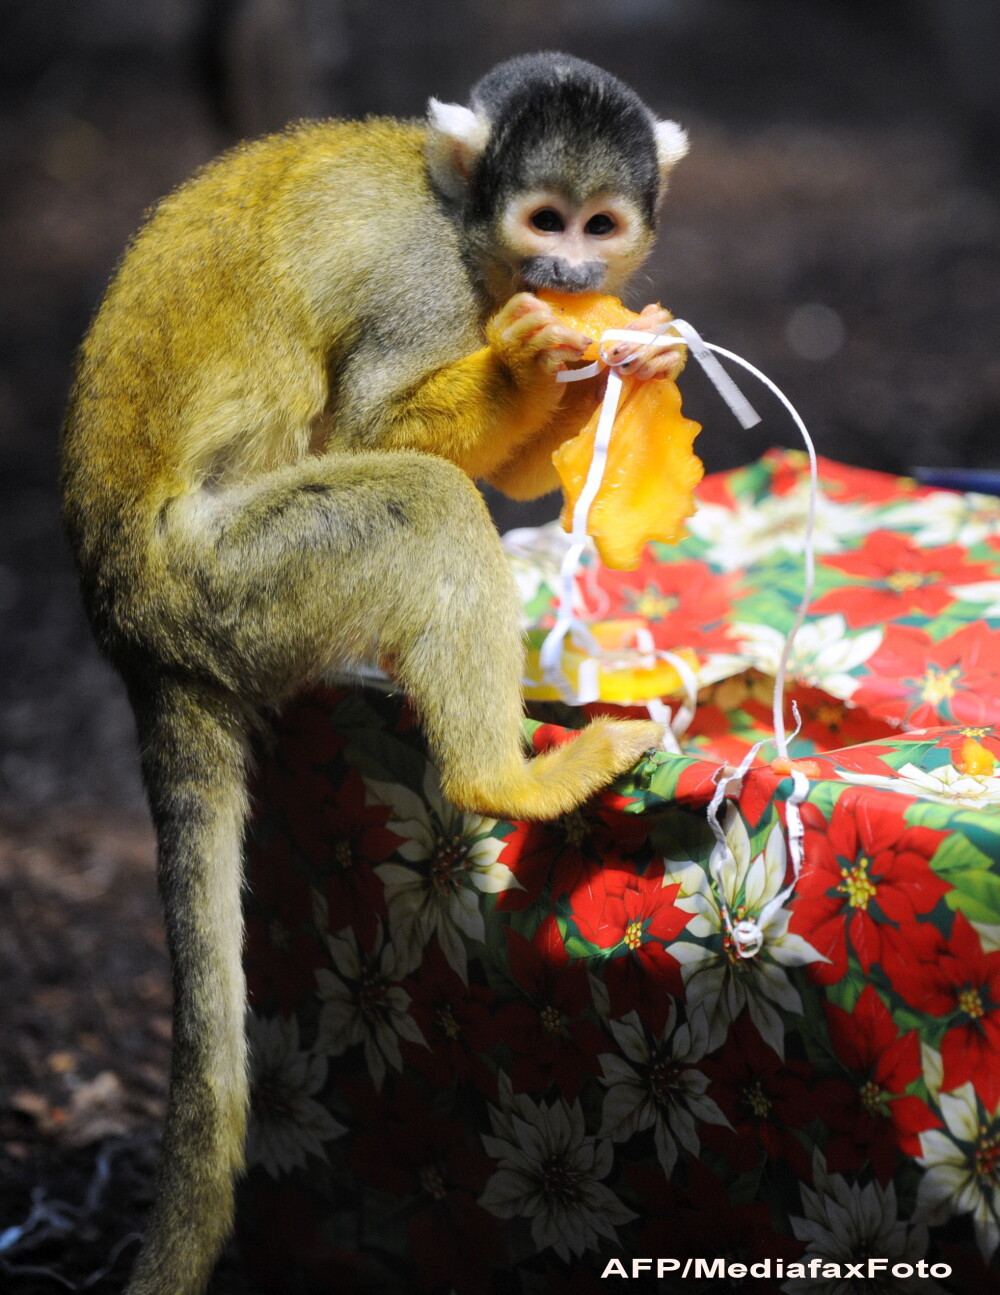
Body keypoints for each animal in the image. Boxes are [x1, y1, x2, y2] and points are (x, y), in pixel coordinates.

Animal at [60, 50, 689, 1295]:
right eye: (544, 218)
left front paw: (627, 345)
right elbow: (373, 425)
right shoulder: (424, 283)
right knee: (419, 500)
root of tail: (125, 623)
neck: (470, 229)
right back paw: (507, 779)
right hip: (225, 582)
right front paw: (527, 357)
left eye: (599, 226)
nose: (568, 271)